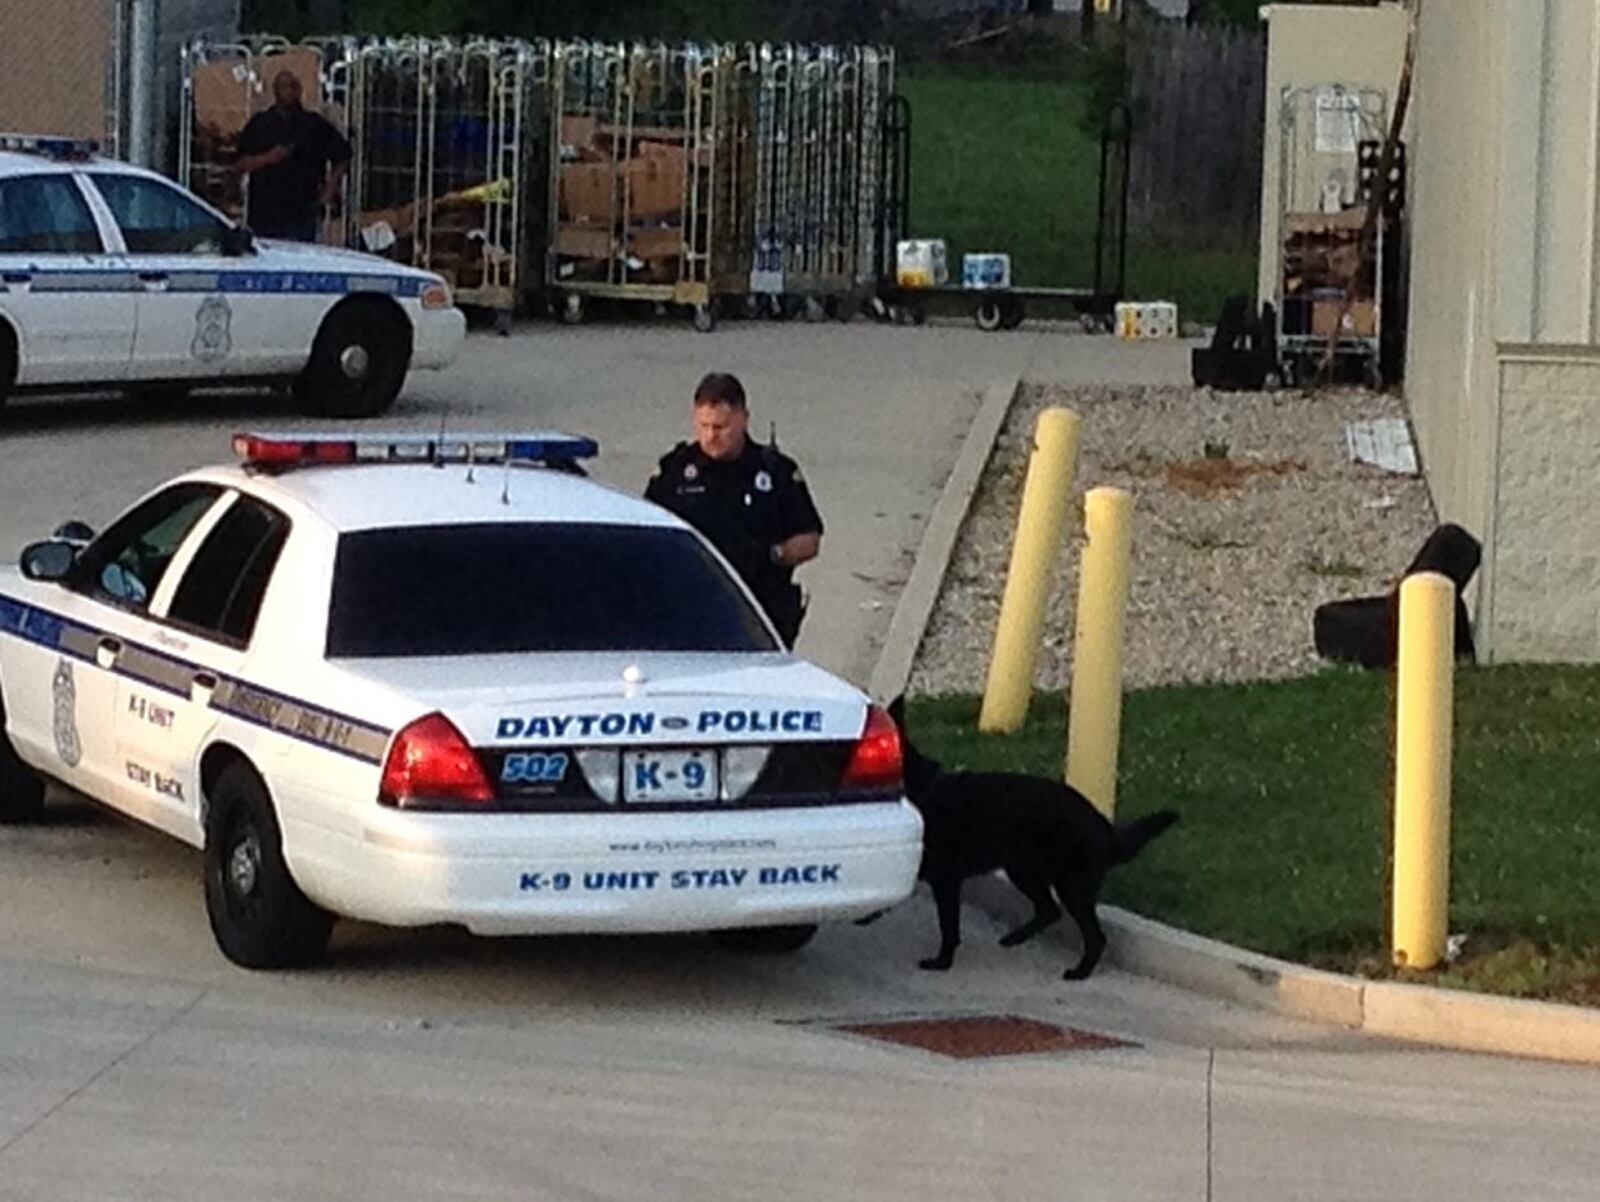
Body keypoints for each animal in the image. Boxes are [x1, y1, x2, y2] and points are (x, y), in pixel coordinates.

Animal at [889, 701, 1177, 979]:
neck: (923, 789)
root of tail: (1101, 823)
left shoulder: (946, 881)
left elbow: (948, 926)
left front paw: (942, 962)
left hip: (1068, 886)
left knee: (1093, 935)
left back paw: (1080, 972)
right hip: (1025, 871)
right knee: (1050, 911)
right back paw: (1016, 938)